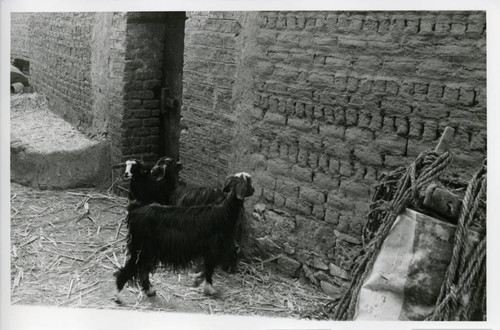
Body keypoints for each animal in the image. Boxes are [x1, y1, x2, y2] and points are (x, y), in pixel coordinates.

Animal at [114, 173, 254, 304]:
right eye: (249, 182)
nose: (253, 190)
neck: (225, 212)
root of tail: (134, 210)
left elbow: (206, 267)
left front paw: (199, 281)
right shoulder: (213, 249)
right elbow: (209, 269)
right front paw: (206, 286)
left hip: (147, 251)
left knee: (143, 271)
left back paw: (149, 291)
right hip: (141, 249)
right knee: (128, 270)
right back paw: (118, 296)